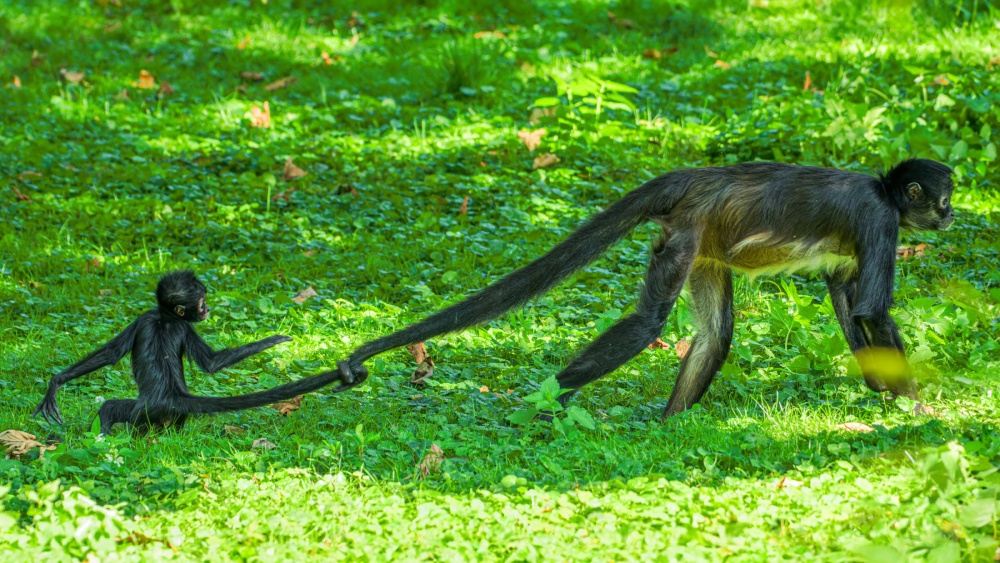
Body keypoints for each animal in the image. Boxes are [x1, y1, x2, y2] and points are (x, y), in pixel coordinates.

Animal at [33, 270, 346, 434]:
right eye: (202, 302)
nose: (207, 310)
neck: (166, 317)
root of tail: (173, 396)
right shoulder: (171, 323)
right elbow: (212, 364)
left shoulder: (149, 319)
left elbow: (111, 354)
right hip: (156, 414)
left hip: (145, 413)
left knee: (110, 409)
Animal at [332, 159, 956, 418]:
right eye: (944, 198)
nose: (951, 216)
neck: (882, 188)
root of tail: (700, 178)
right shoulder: (880, 218)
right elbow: (872, 310)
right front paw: (919, 411)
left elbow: (849, 302)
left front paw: (879, 385)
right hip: (687, 232)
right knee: (648, 324)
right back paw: (545, 406)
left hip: (706, 245)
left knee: (715, 335)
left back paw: (668, 427)